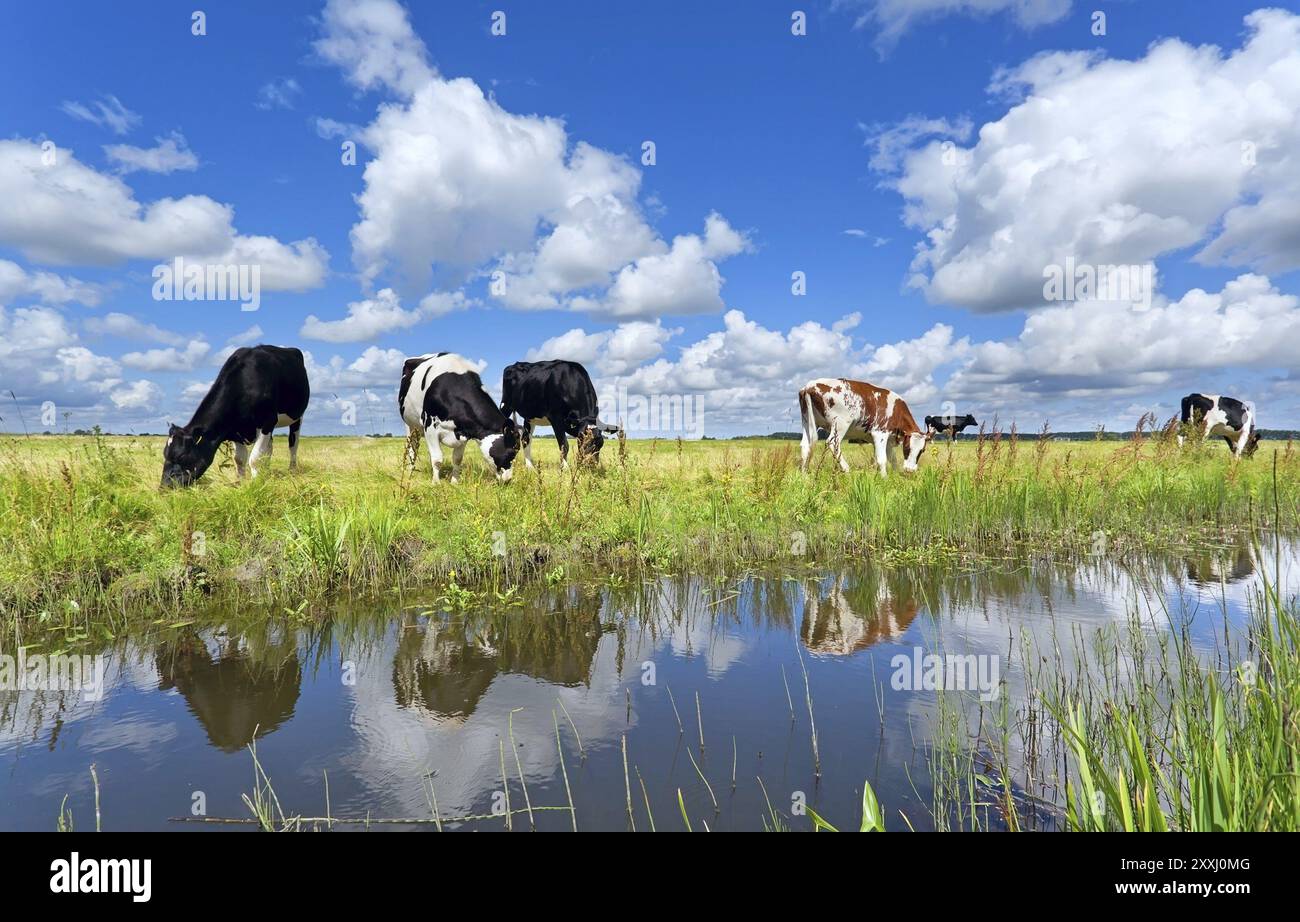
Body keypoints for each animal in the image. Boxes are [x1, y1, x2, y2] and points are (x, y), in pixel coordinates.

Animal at [157, 345, 306, 488]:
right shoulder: (235, 430)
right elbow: (239, 459)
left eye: (181, 456)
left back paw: (292, 471)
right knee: (269, 449)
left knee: (293, 444)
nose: (164, 487)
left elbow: (255, 458)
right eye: (165, 454)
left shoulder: (267, 421)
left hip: (297, 417)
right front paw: (240, 483)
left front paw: (256, 484)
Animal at [397, 351, 520, 481]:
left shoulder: (465, 431)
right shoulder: (430, 426)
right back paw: (410, 472)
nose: (508, 479)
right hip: (409, 425)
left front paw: (455, 481)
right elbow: (437, 459)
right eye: (512, 452)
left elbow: (457, 459)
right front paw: (436, 482)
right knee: (412, 448)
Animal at [795, 374, 930, 475]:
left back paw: (804, 475)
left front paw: (895, 476)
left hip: (807, 420)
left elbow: (892, 459)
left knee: (805, 445)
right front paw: (885, 479)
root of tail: (810, 385)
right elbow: (882, 460)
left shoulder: (888, 440)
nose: (910, 470)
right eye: (907, 447)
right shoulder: (880, 434)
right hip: (840, 423)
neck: (896, 411)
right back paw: (846, 469)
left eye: (922, 450)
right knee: (832, 443)